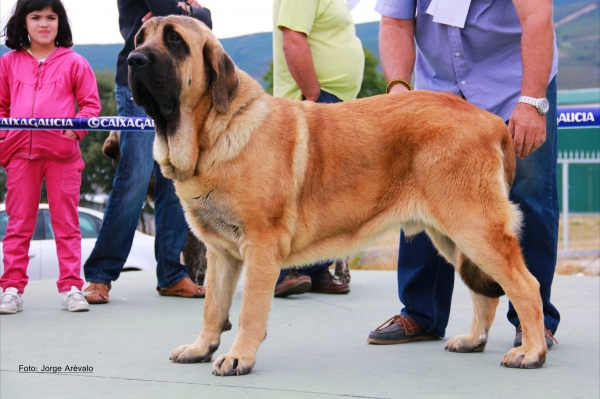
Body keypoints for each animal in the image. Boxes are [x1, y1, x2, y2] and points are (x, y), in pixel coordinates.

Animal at [126, 15, 548, 376]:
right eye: (140, 38)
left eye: (175, 41)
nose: (133, 59)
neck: (212, 132)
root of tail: (492, 121)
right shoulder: (221, 253)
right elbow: (213, 307)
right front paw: (201, 348)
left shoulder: (261, 247)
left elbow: (249, 312)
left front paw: (238, 357)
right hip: (452, 235)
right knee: (486, 292)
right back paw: (474, 340)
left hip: (475, 227)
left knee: (526, 287)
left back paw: (531, 351)